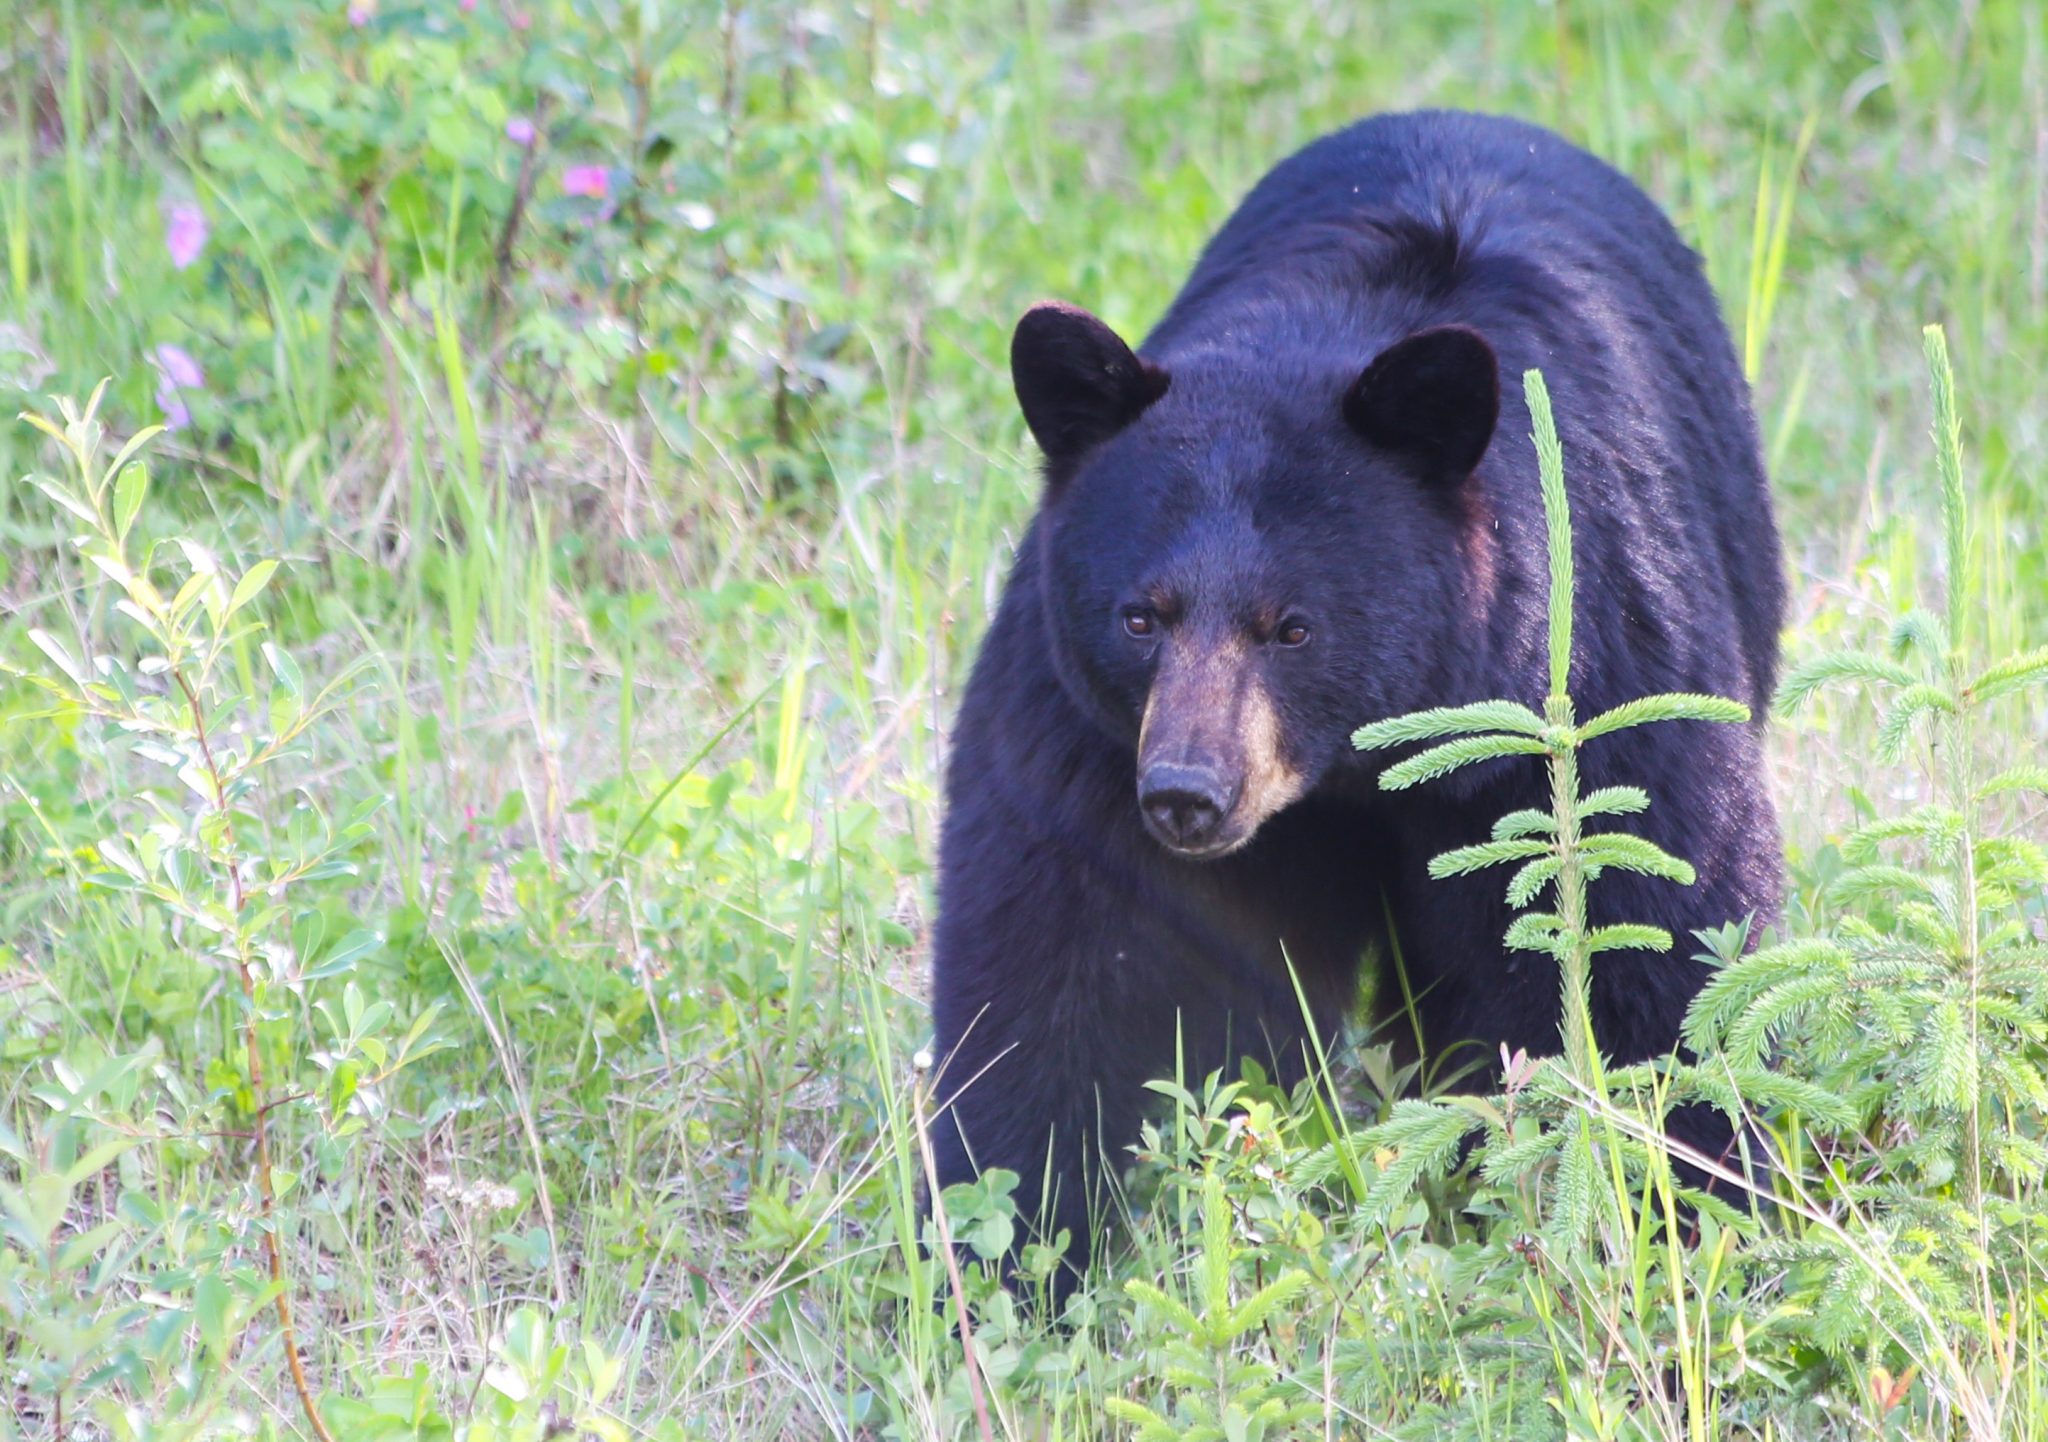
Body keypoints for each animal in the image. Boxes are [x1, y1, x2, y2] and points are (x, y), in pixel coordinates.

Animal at [929, 109, 1785, 1297]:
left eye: (1293, 626)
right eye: (1140, 616)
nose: (1188, 794)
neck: (1353, 772)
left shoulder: (1595, 687)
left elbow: (1655, 941)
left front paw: (1687, 1209)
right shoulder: (1085, 737)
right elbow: (1067, 963)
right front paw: (1013, 1252)